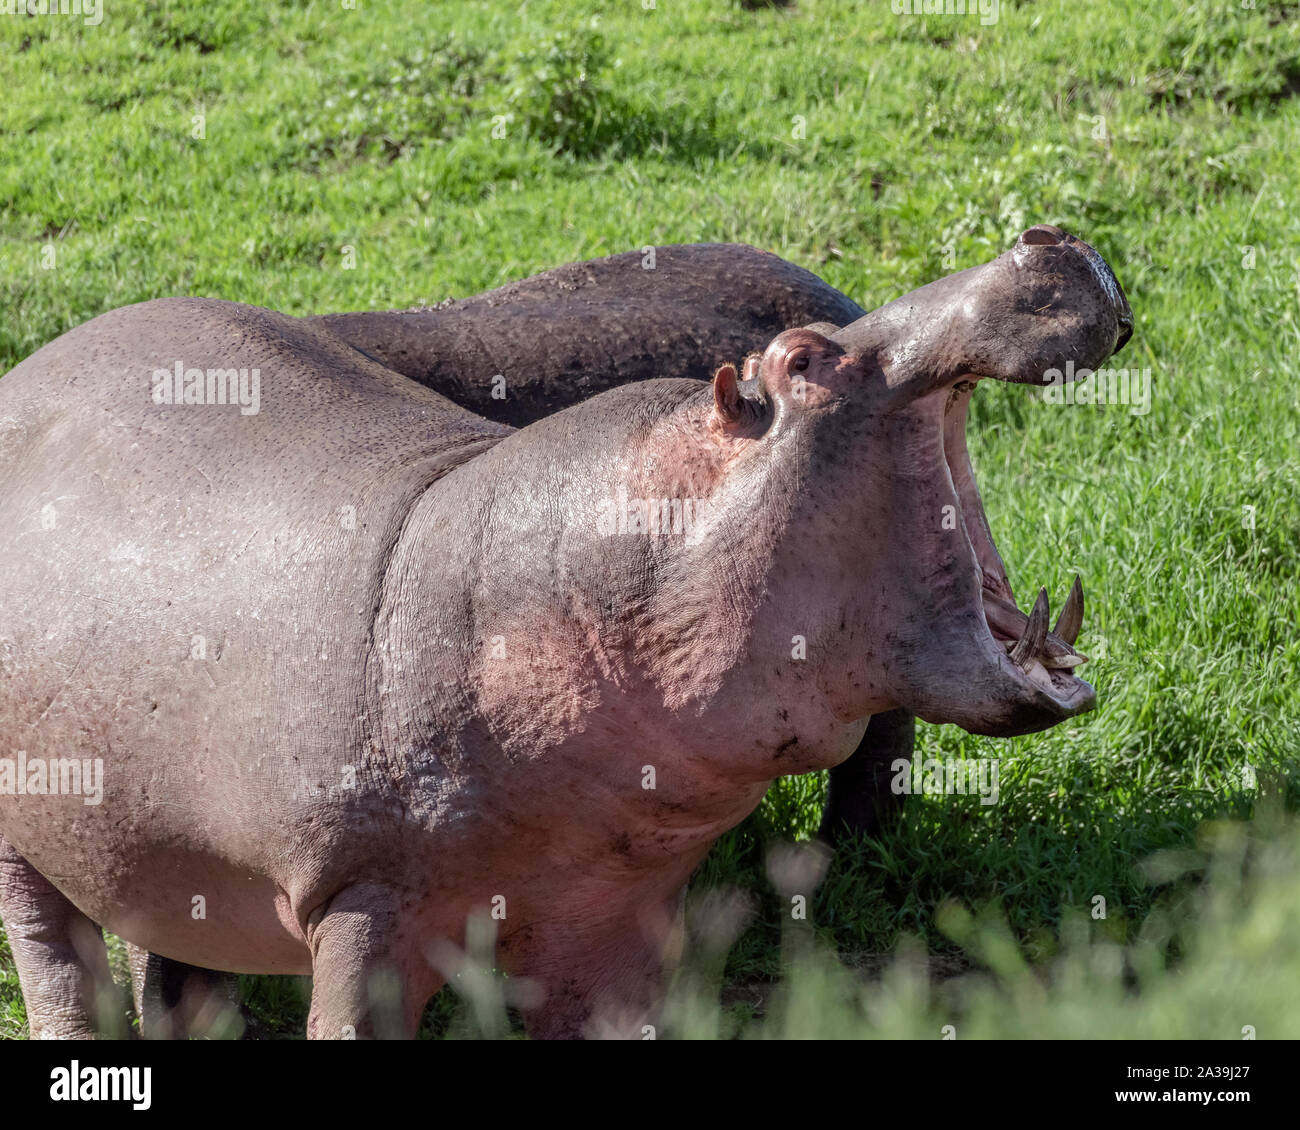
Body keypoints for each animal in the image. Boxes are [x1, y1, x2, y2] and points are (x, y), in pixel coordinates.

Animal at [0, 224, 1128, 1035]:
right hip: (34, 832)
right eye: (802, 361)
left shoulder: (611, 911)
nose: (1047, 238)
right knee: (57, 961)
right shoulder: (361, 901)